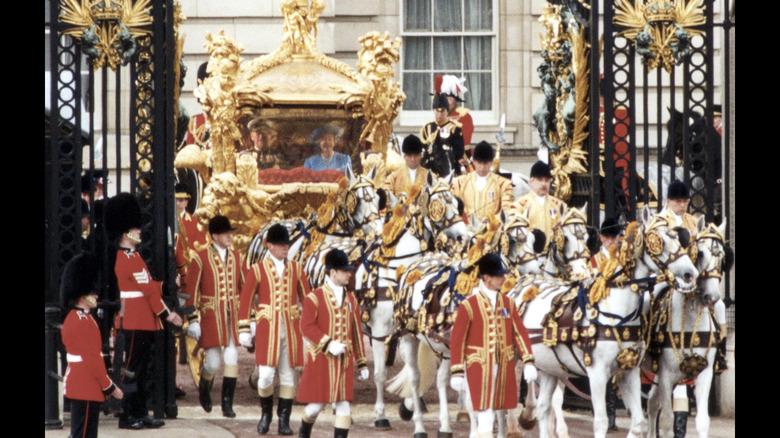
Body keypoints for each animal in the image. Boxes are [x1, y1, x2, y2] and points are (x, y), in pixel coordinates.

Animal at [352, 172, 470, 432]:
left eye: (456, 203)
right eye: (438, 205)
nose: (463, 237)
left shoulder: (410, 328)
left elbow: (414, 368)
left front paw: (409, 406)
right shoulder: (381, 328)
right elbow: (380, 374)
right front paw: (381, 415)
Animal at [508, 207, 696, 438]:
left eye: (677, 237)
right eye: (657, 240)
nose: (690, 273)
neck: (617, 311)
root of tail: (519, 284)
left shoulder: (628, 371)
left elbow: (639, 423)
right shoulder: (596, 374)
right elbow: (600, 422)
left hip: (550, 367)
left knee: (543, 409)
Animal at [640, 219, 732, 438]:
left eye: (722, 257)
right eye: (700, 253)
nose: (712, 297)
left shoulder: (704, 374)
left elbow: (702, 422)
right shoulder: (666, 376)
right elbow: (667, 422)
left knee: (652, 405)